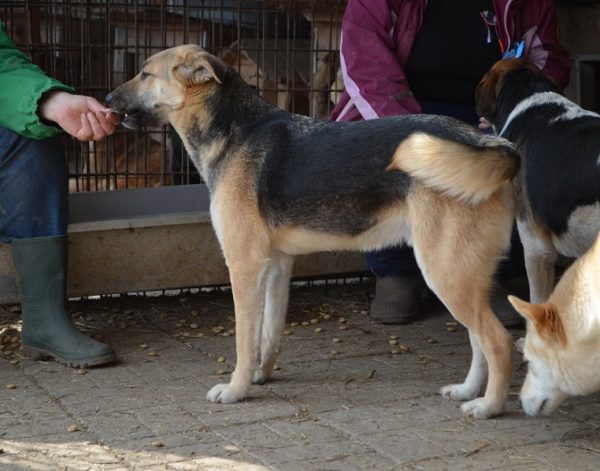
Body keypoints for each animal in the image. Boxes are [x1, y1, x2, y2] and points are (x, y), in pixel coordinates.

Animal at [108, 46, 520, 418]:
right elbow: (269, 334)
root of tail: (490, 142)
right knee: (479, 341)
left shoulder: (244, 266)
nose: (108, 98)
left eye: (145, 73)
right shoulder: (277, 265)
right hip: (459, 277)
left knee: (499, 342)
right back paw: (467, 390)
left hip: (443, 272)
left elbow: (244, 340)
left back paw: (489, 406)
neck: (235, 129)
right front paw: (260, 377)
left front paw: (237, 388)